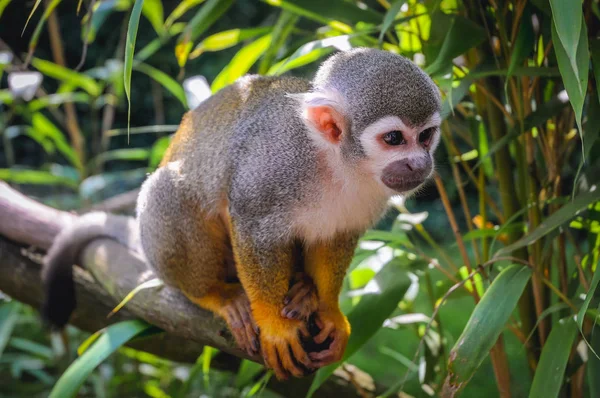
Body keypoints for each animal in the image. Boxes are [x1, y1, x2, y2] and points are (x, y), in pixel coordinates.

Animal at [42, 48, 440, 380]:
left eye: (426, 136)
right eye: (394, 139)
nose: (420, 163)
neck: (336, 162)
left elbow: (335, 238)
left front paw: (328, 309)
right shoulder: (274, 164)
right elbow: (252, 225)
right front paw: (274, 324)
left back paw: (304, 291)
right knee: (169, 191)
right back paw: (214, 294)